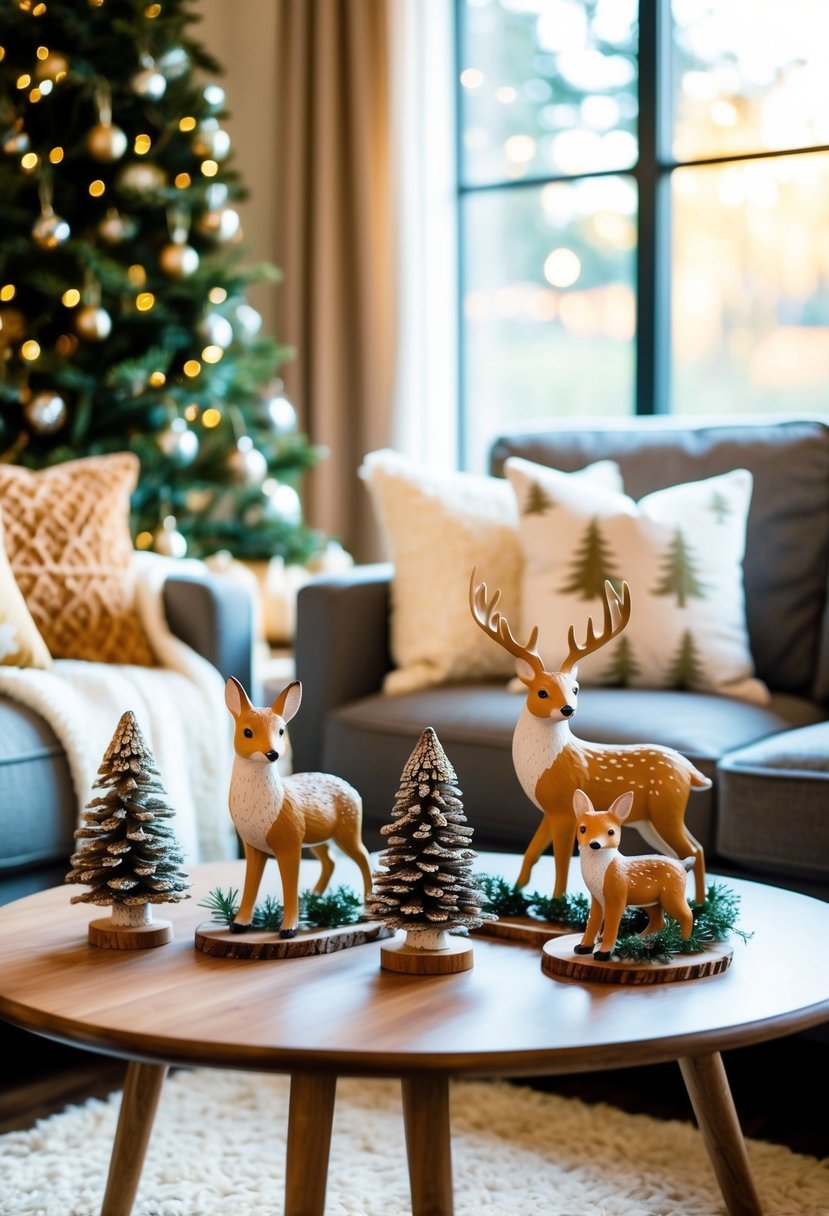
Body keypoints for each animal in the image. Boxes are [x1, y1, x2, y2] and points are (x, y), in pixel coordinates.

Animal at [469, 569, 705, 904]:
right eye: (542, 692)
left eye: (576, 689)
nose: (568, 709)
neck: (542, 765)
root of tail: (688, 768)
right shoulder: (548, 810)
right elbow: (531, 852)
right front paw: (514, 891)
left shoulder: (564, 809)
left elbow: (561, 861)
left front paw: (556, 903)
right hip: (650, 821)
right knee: (687, 850)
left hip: (667, 806)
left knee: (695, 848)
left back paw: (700, 904)